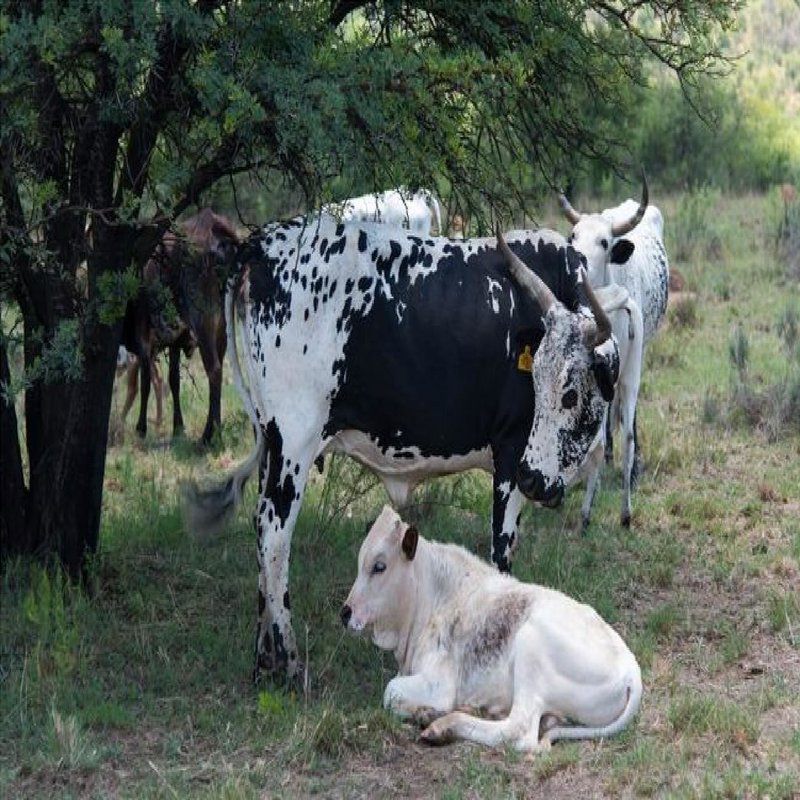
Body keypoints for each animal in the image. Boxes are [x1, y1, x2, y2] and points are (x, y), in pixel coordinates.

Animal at [122, 208, 239, 444]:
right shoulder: (176, 340)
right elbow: (174, 380)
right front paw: (178, 426)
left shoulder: (144, 338)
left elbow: (145, 381)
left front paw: (141, 428)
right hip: (222, 327)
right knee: (219, 370)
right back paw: (216, 429)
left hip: (204, 322)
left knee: (214, 370)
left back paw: (209, 435)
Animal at [188, 219, 620, 680]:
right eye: (538, 381)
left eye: (570, 393)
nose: (535, 480)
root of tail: (262, 241)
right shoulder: (510, 457)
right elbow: (501, 554)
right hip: (294, 441)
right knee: (274, 533)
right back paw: (288, 660)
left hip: (272, 441)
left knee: (260, 529)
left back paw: (263, 660)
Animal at [344, 506, 644, 752]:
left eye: (379, 566)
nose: (345, 612)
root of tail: (631, 669)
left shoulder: (439, 683)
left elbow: (390, 691)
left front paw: (429, 712)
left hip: (530, 647)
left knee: (519, 730)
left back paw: (443, 725)